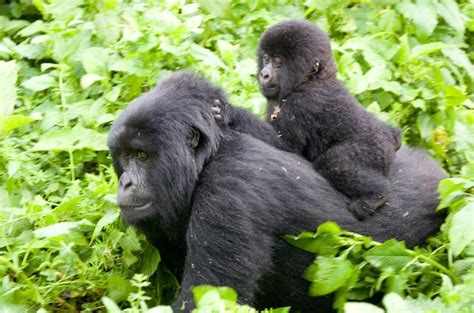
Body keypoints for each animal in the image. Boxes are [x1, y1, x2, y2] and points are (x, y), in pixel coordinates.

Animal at [256, 20, 400, 219]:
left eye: (277, 62)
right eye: (266, 58)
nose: (264, 74)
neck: (311, 80)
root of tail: (390, 147)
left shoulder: (298, 105)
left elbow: (285, 147)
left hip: (374, 150)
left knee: (334, 162)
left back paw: (376, 195)